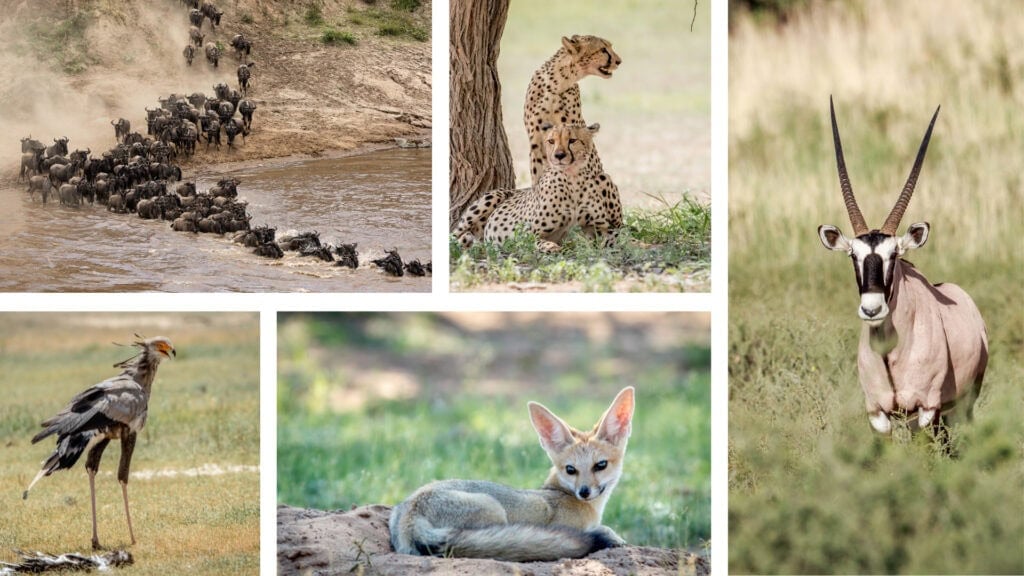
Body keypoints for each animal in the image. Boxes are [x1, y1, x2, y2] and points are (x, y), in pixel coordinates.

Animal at [456, 121, 614, 252]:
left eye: (572, 140)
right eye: (551, 141)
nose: (559, 155)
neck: (572, 179)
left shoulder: (601, 229)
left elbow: (607, 241)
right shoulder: (527, 234)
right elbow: (540, 242)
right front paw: (552, 246)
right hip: (492, 197)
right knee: (457, 236)